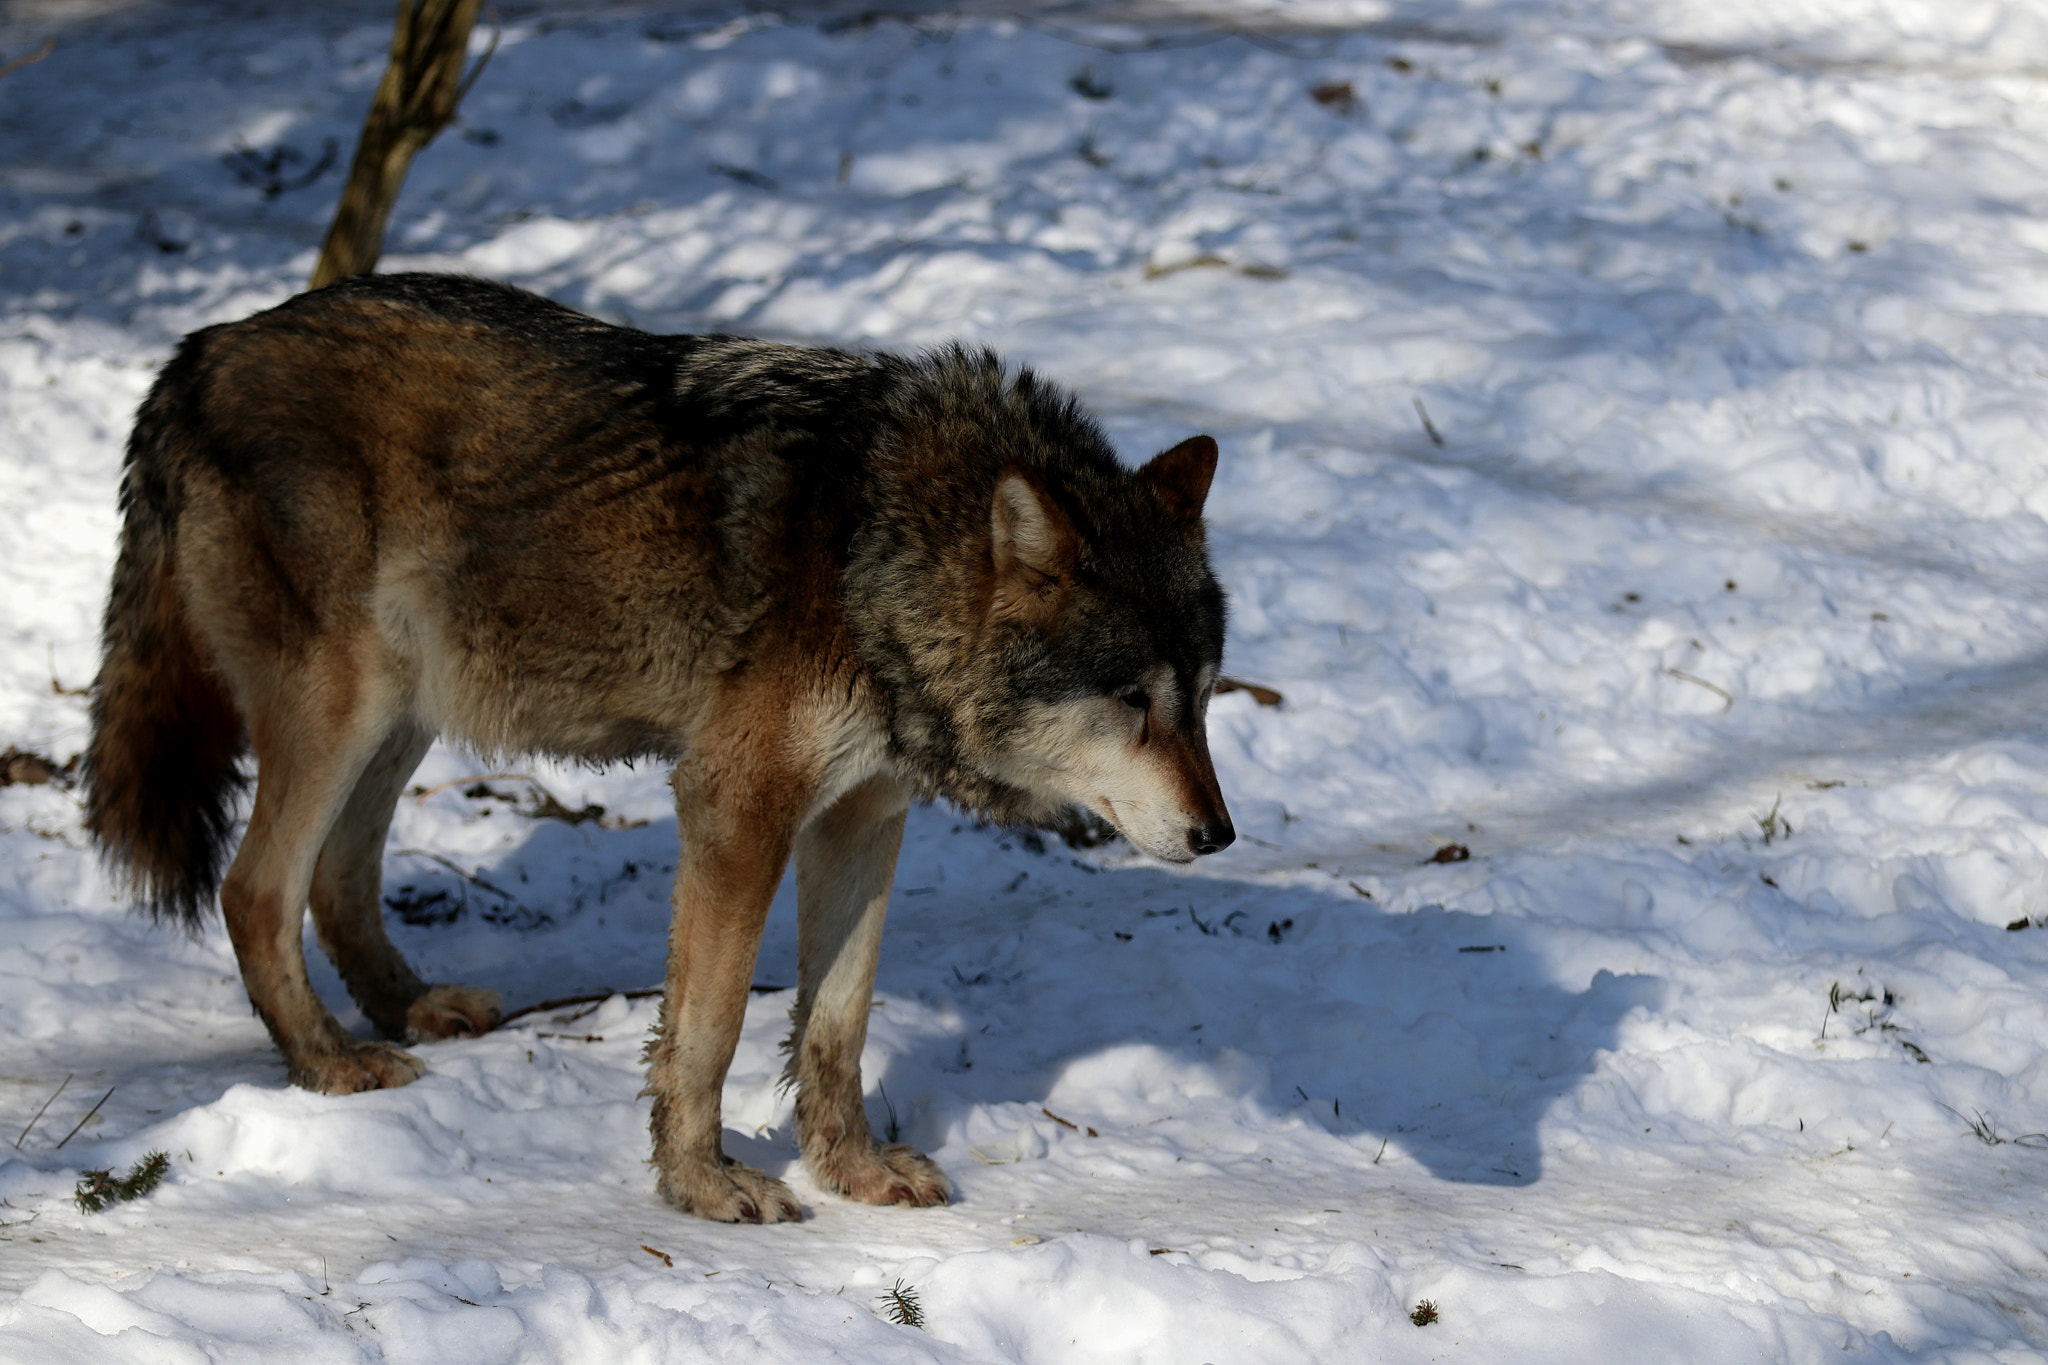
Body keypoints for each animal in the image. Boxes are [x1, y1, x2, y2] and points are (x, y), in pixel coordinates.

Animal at [82, 273, 1233, 1222]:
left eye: (1201, 695)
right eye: (1130, 700)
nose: (1219, 835)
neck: (876, 548)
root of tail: (202, 349)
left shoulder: (863, 815)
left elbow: (836, 1027)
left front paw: (854, 1172)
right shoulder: (735, 803)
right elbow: (709, 1027)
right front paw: (703, 1186)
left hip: (407, 714)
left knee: (333, 876)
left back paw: (410, 1010)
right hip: (345, 710)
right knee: (254, 890)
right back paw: (329, 1063)